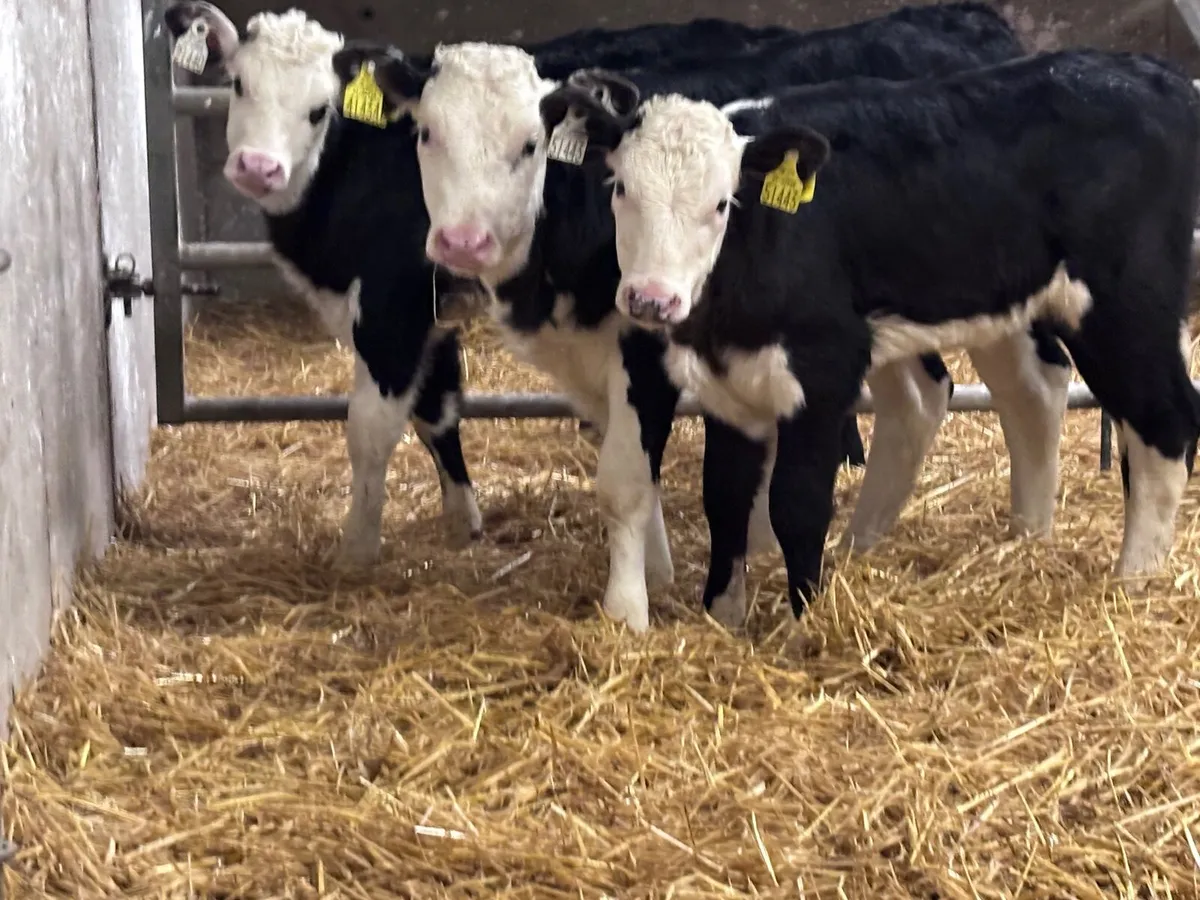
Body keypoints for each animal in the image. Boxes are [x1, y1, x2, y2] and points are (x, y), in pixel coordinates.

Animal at [161, 2, 860, 567]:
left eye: (317, 109)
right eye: (238, 85)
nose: (257, 167)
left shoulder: (392, 305)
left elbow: (371, 429)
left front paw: (356, 554)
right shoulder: (433, 311)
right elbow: (439, 410)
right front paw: (462, 518)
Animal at [331, 3, 1044, 631]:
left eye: (530, 144)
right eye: (427, 134)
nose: (463, 242)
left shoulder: (646, 349)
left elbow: (623, 479)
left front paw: (627, 610)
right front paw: (659, 569)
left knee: (1027, 392)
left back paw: (1029, 534)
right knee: (922, 396)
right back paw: (864, 542)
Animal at [544, 49, 1200, 625]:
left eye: (721, 204)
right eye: (621, 188)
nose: (651, 299)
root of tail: (1159, 77)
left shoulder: (823, 370)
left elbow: (797, 504)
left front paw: (805, 623)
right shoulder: (727, 384)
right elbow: (725, 499)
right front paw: (723, 619)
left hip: (1124, 308)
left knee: (1166, 423)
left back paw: (1134, 581)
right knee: (1054, 401)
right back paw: (1031, 542)